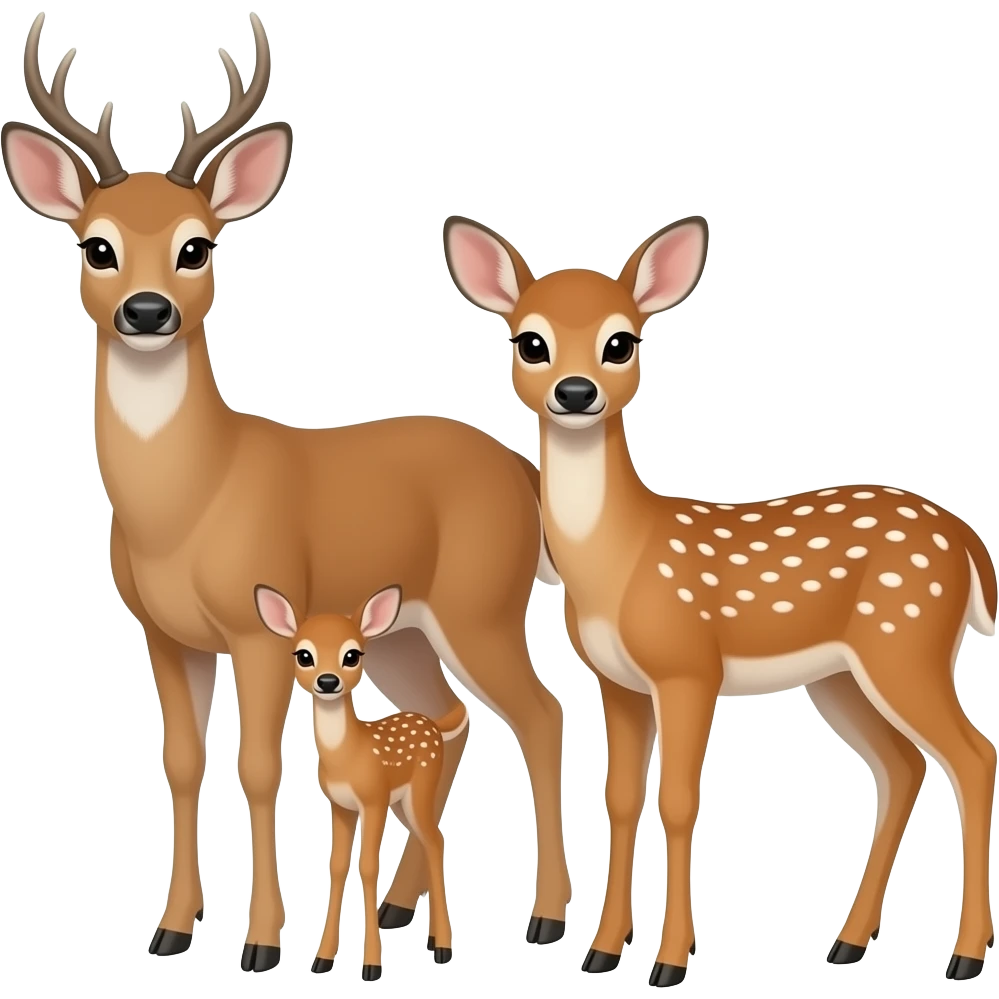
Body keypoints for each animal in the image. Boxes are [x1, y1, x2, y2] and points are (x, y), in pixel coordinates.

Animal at [254, 582, 462, 981]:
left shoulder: (373, 799)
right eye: (304, 654)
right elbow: (337, 866)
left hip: (417, 790)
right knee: (433, 838)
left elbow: (367, 865)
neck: (348, 755)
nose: (328, 681)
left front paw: (372, 965)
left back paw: (444, 947)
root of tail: (430, 723)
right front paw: (321, 959)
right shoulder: (340, 805)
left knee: (435, 839)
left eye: (352, 655)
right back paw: (433, 941)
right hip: (403, 802)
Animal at [441, 214, 999, 986]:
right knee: (901, 767)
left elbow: (679, 802)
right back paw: (847, 943)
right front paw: (602, 950)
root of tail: (967, 540)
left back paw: (965, 955)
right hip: (841, 676)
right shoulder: (615, 680)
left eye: (621, 341)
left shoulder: (688, 666)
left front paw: (669, 961)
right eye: (530, 341)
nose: (576, 391)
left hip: (907, 640)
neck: (621, 557)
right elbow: (621, 798)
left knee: (973, 756)